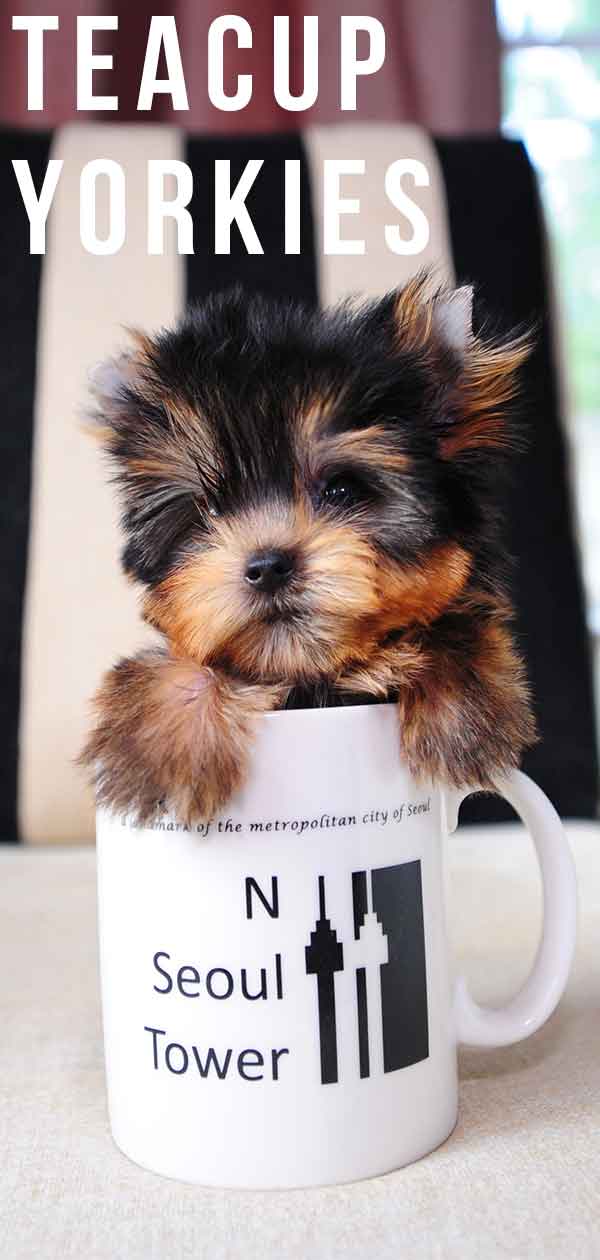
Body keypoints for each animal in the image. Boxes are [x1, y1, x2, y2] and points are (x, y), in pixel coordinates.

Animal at [79, 277, 534, 826]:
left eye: (340, 490)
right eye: (210, 511)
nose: (267, 566)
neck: (310, 674)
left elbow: (452, 619)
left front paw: (459, 716)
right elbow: (181, 660)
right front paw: (160, 747)